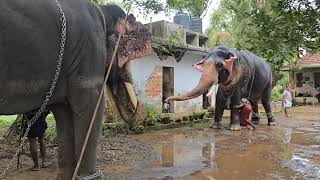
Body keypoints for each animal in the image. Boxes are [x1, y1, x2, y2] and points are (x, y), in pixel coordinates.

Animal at [0, 0, 152, 179]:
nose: (141, 105)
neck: (103, 12)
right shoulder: (89, 57)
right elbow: (91, 109)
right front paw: (92, 176)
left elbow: (64, 115)